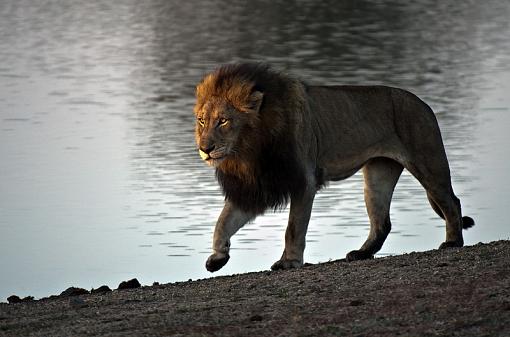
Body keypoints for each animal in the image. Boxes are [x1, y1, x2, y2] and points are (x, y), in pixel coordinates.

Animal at [193, 63, 476, 272]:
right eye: (202, 121)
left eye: (223, 121)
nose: (205, 148)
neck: (249, 151)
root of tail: (423, 103)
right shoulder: (255, 187)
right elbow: (223, 222)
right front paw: (217, 258)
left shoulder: (303, 182)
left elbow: (293, 228)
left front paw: (289, 262)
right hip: (378, 174)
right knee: (382, 222)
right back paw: (361, 254)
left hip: (427, 162)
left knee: (452, 202)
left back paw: (453, 242)